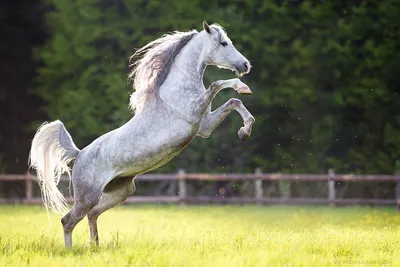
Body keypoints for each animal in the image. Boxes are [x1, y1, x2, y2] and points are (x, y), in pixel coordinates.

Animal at [28, 21, 255, 249]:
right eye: (224, 43)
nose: (246, 65)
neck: (178, 88)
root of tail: (79, 153)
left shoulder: (204, 126)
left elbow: (234, 102)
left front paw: (245, 131)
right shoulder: (195, 113)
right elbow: (217, 84)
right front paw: (242, 87)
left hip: (121, 192)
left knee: (92, 215)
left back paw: (95, 246)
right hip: (87, 197)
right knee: (68, 220)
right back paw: (71, 250)